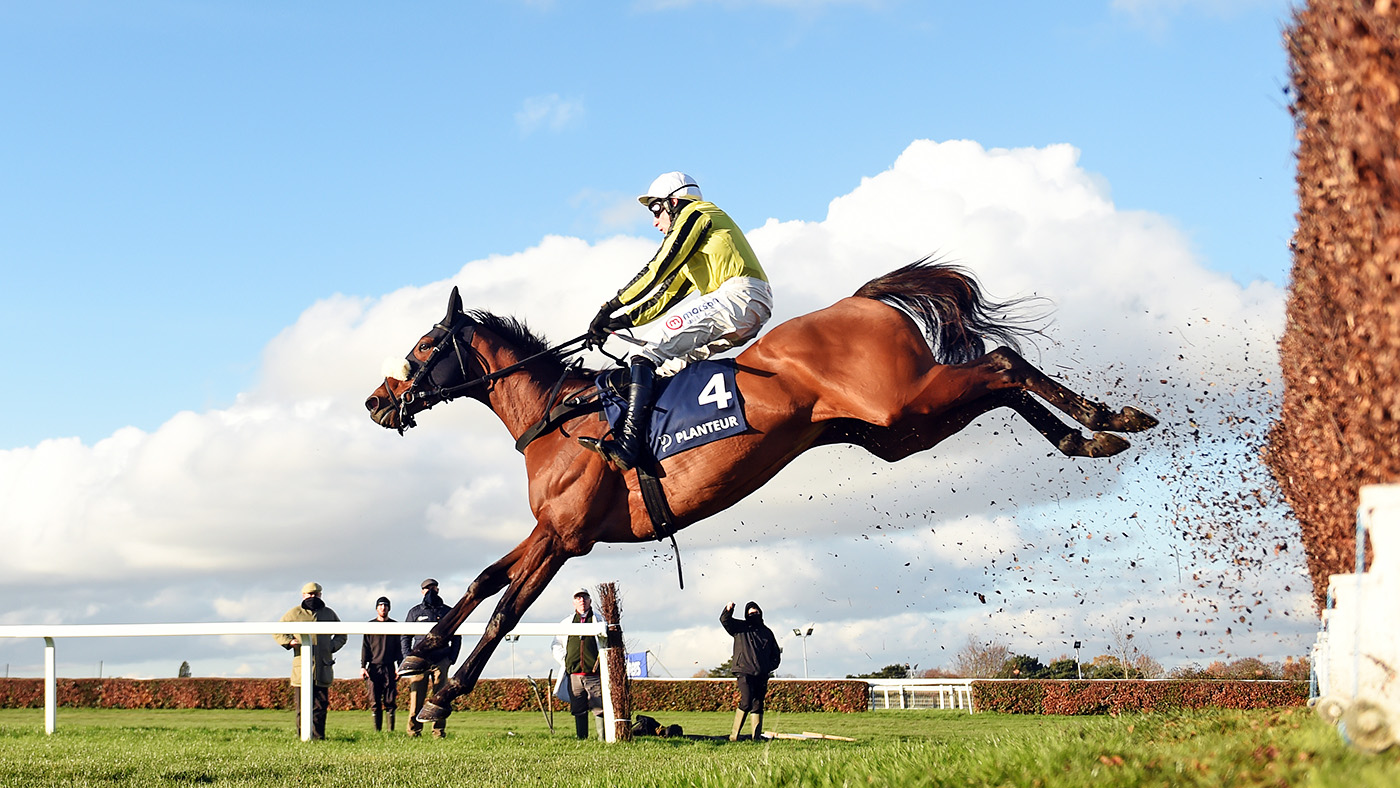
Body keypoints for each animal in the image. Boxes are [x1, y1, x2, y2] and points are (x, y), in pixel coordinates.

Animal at [364, 261, 1159, 722]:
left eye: (423, 347)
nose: (377, 400)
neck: (561, 416)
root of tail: (861, 302)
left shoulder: (566, 538)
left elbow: (506, 610)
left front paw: (441, 696)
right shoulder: (550, 530)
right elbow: (482, 579)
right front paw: (422, 650)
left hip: (906, 401)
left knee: (1002, 362)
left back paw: (1107, 419)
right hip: (903, 428)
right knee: (1000, 382)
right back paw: (1093, 433)